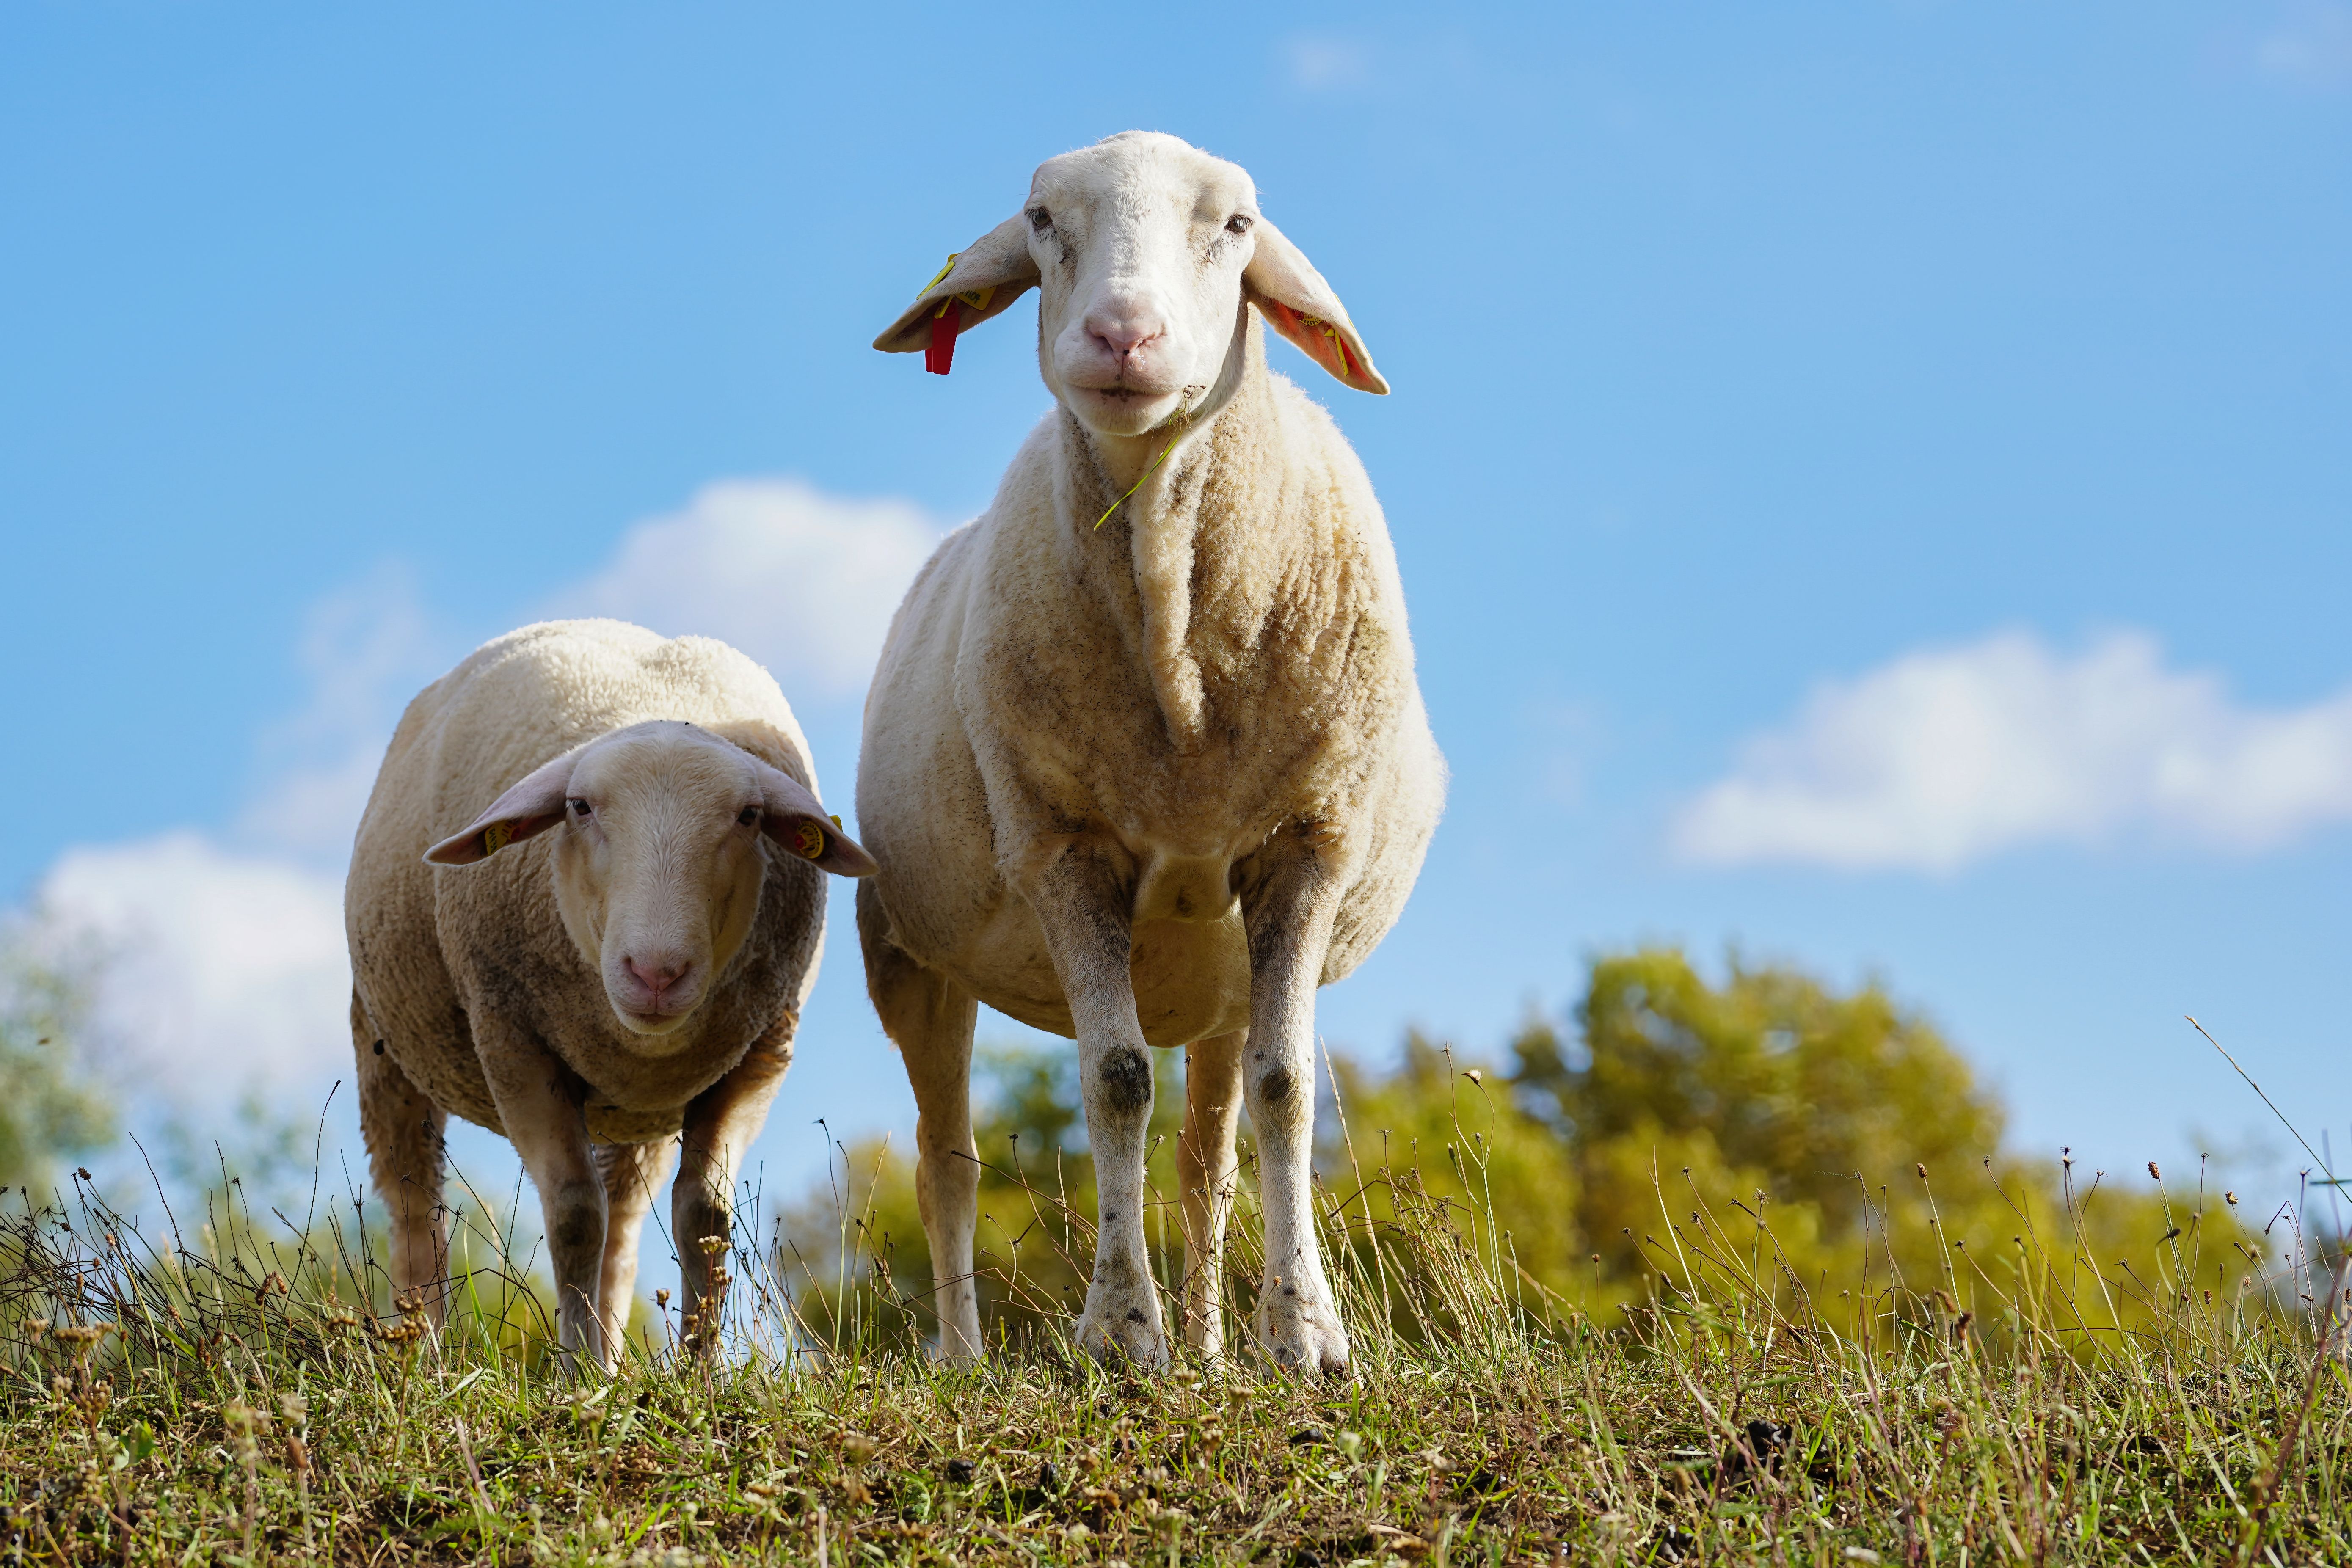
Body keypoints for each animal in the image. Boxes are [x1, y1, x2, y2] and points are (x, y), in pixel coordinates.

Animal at [345, 619, 875, 1368]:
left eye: (748, 816)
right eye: (579, 807)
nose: (655, 972)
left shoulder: (758, 1053)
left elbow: (705, 1215)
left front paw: (699, 1371)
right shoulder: (512, 1039)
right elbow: (572, 1214)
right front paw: (573, 1372)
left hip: (635, 1113)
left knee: (622, 1222)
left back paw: (614, 1359)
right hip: (386, 1043)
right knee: (414, 1200)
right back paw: (426, 1355)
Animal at [858, 132, 1445, 1374]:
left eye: (1235, 225)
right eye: (1040, 220)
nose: (1122, 337)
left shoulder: (1308, 842)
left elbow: (1284, 1090)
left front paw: (1304, 1336)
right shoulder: (1061, 846)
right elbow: (1114, 1080)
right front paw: (1123, 1331)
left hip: (1216, 973)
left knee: (1209, 1154)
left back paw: (1222, 1348)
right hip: (909, 954)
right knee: (947, 1162)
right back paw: (962, 1355)